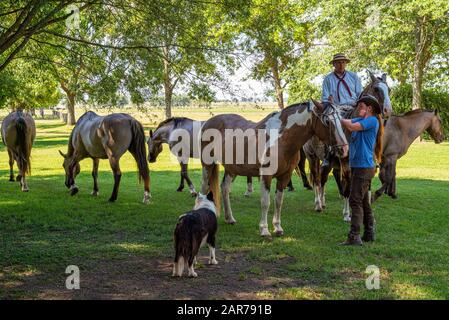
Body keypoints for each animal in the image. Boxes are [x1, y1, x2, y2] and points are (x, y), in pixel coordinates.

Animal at [200, 100, 350, 238]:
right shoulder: (266, 175)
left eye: (341, 120)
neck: (281, 138)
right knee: (204, 189)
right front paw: (264, 229)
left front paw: (277, 227)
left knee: (224, 189)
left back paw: (230, 218)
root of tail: (208, 122)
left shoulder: (285, 176)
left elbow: (278, 201)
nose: (344, 149)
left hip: (232, 169)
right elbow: (265, 202)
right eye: (327, 121)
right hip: (207, 165)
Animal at [300, 70, 392, 220]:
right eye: (376, 89)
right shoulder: (346, 164)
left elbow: (365, 189)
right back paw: (318, 204)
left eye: (389, 89)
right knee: (317, 179)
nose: (387, 110)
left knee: (323, 179)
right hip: (312, 157)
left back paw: (322, 202)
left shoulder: (366, 165)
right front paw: (347, 214)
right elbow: (348, 189)